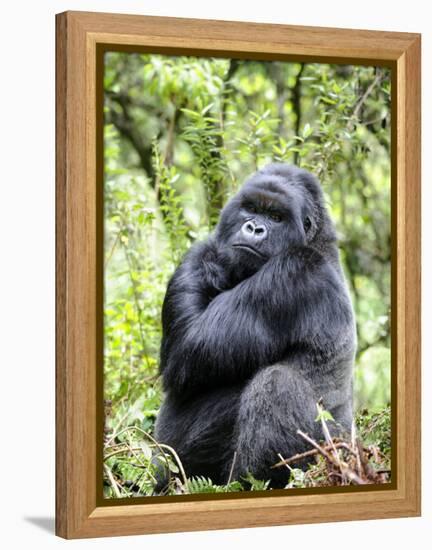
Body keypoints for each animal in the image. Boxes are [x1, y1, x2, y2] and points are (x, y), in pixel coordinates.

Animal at [154, 164, 356, 492]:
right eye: (250, 209)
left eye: (276, 217)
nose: (253, 228)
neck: (316, 240)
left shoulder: (294, 272)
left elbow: (187, 348)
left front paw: (210, 260)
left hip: (330, 455)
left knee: (276, 383)